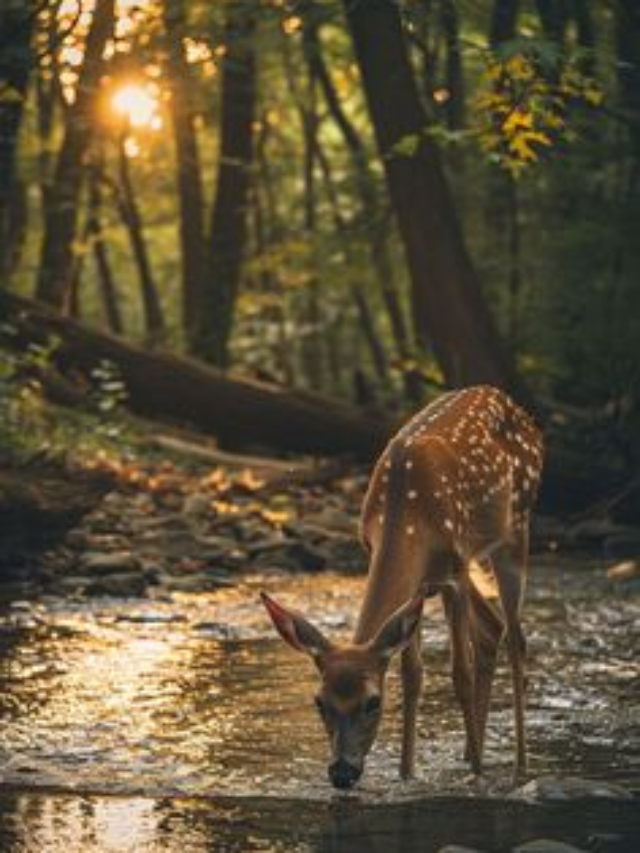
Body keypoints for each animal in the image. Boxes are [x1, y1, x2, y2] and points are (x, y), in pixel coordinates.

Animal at [262, 382, 544, 788]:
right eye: (320, 702)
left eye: (372, 702)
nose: (342, 772)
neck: (408, 514)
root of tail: (516, 406)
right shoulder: (417, 585)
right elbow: (413, 676)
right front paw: (407, 775)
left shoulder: (455, 570)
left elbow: (460, 674)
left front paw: (477, 778)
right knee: (492, 628)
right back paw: (469, 753)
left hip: (515, 529)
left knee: (516, 639)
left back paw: (518, 768)